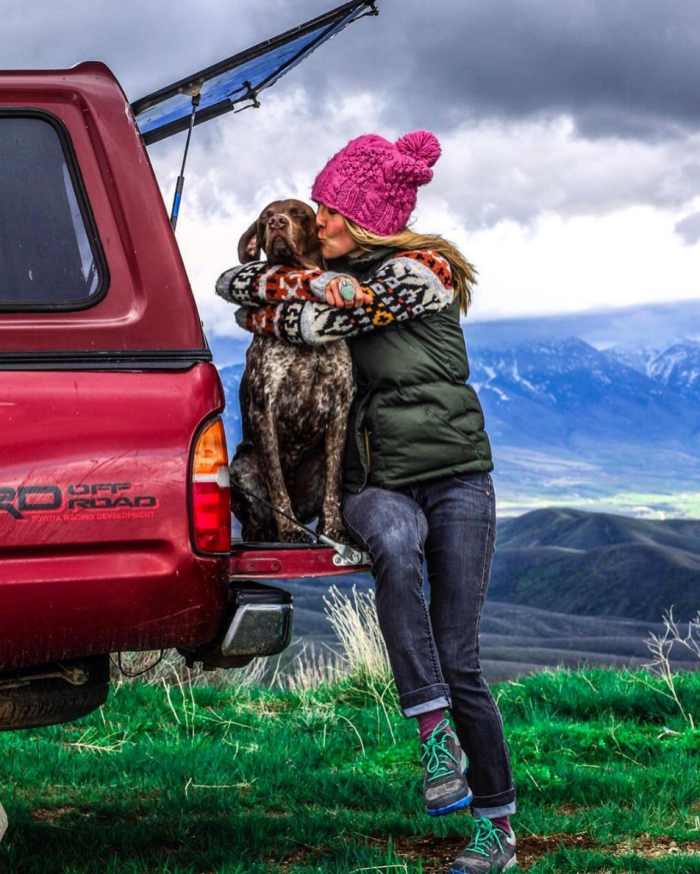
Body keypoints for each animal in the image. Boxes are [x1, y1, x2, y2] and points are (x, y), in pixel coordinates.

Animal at [228, 201, 352, 540]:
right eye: (263, 218)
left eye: (299, 213)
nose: (276, 223)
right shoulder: (264, 410)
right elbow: (276, 484)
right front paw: (290, 530)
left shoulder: (340, 411)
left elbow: (335, 483)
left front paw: (333, 528)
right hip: (243, 460)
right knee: (257, 514)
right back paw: (262, 531)